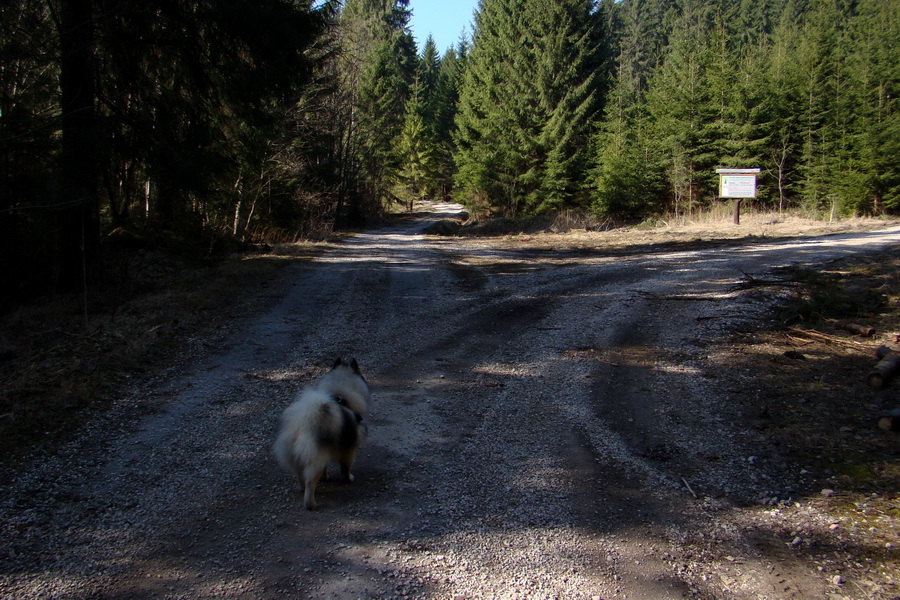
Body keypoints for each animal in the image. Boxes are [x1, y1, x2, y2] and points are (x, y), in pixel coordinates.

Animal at [274, 358, 372, 508]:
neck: (341, 396)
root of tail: (303, 424)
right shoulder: (349, 448)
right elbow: (346, 467)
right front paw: (348, 479)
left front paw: (325, 478)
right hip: (316, 460)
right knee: (309, 483)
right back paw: (311, 504)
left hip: (297, 457)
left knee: (300, 476)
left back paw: (302, 489)